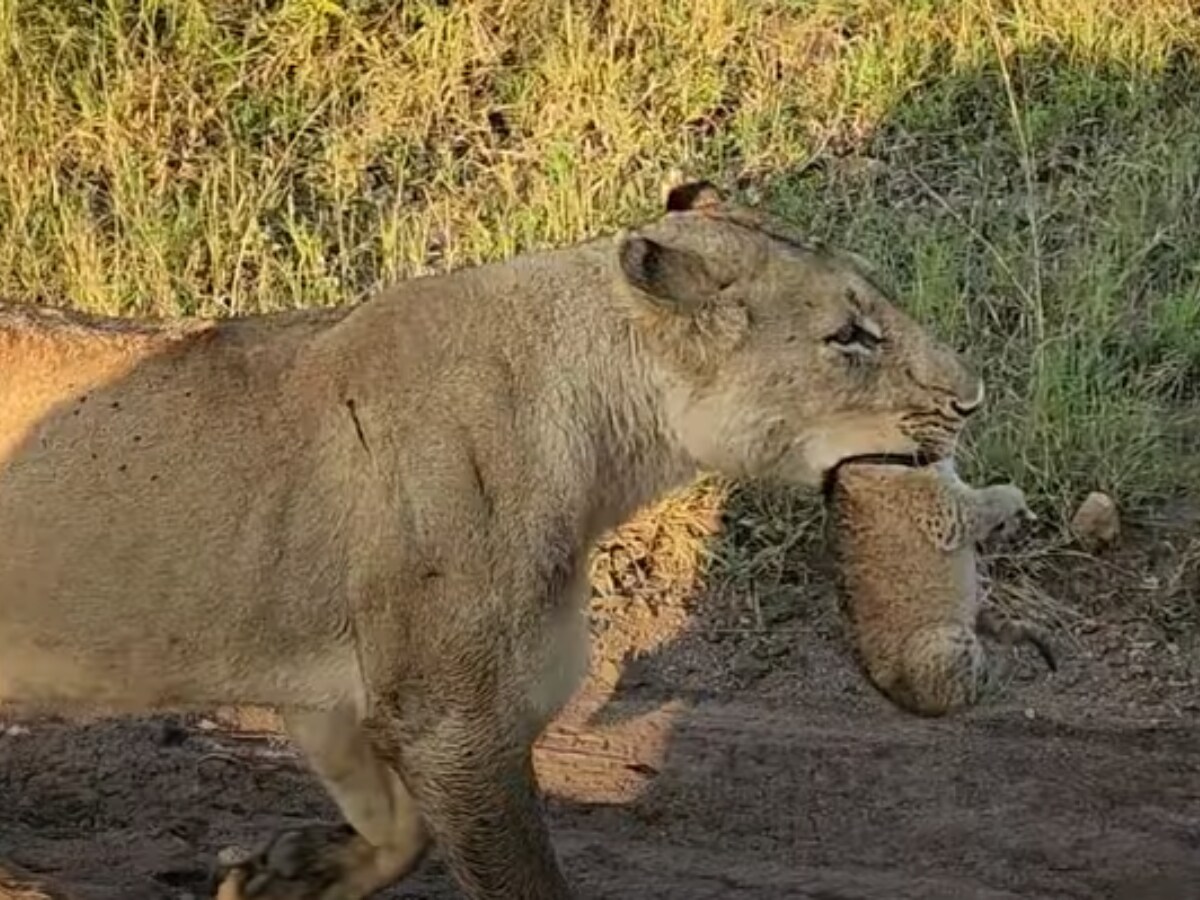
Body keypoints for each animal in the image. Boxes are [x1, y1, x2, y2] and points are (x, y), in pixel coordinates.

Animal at [0, 181, 984, 900]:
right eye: (849, 336)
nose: (973, 400)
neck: (603, 432)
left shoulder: (336, 698)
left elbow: (399, 830)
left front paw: (288, 875)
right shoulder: (456, 726)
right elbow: (516, 878)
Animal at [826, 458, 1057, 717]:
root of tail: (901, 697)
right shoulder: (944, 513)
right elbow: (986, 501)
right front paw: (1015, 500)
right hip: (946, 640)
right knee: (966, 694)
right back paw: (1003, 670)